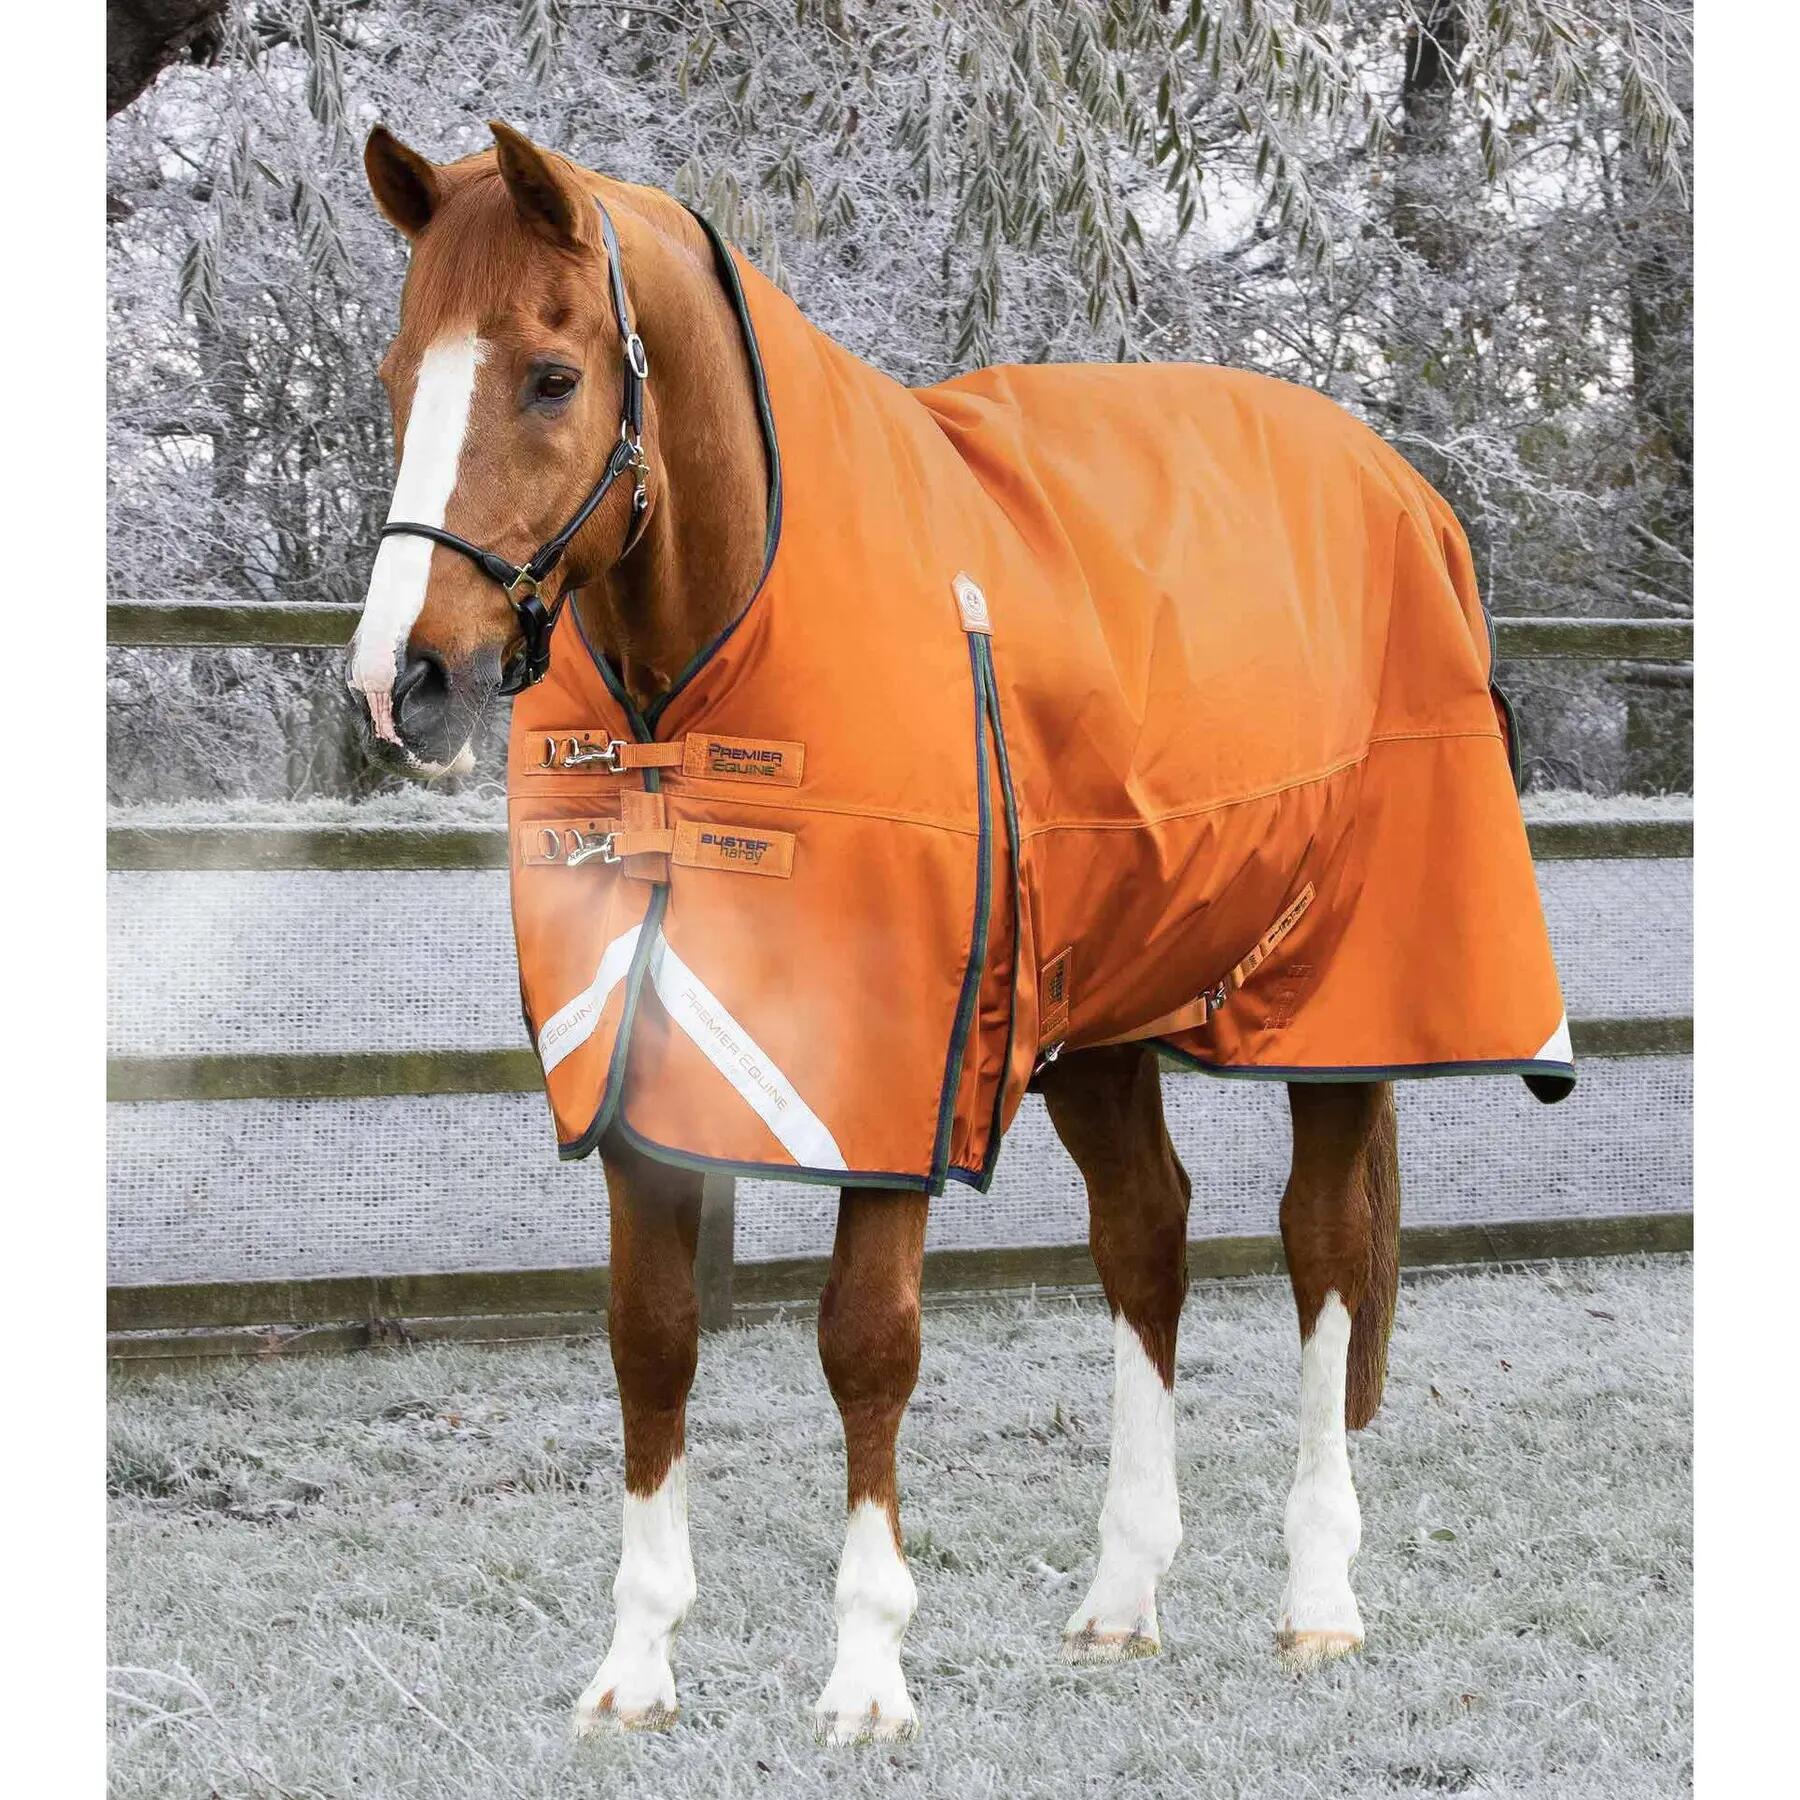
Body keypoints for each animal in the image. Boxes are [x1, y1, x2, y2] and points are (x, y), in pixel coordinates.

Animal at [345, 121, 1567, 1743]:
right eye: (398, 372)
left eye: (550, 377)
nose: (398, 682)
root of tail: (1406, 492)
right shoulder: (637, 1071)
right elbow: (651, 1337)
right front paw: (636, 1669)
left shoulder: (893, 1081)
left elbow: (867, 1342)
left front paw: (867, 1676)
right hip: (1099, 1018)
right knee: (1147, 1239)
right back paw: (1120, 1603)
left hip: (1341, 1016)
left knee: (1321, 1255)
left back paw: (1318, 1603)